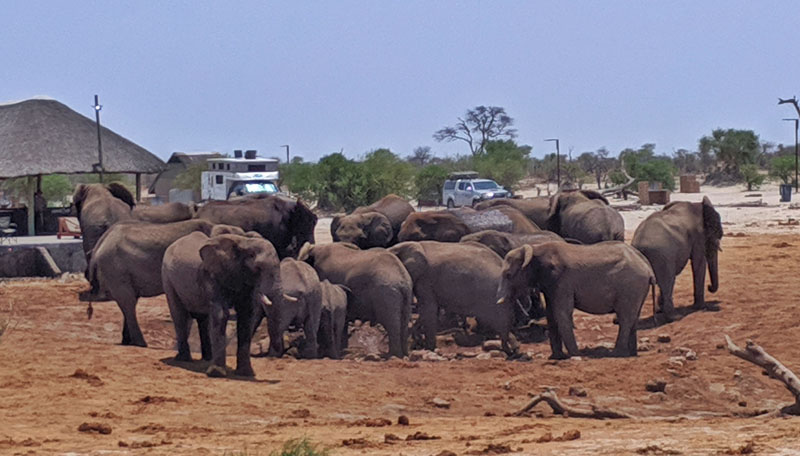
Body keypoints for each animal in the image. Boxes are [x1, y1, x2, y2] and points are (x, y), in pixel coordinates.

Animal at [86, 219, 216, 348]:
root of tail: (100, 243)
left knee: (129, 300)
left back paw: (127, 341)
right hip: (114, 268)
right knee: (128, 302)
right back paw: (140, 343)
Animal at [197, 235, 284, 378]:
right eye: (258, 268)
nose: (274, 357)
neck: (245, 241)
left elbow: (247, 316)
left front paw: (246, 373)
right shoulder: (213, 274)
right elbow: (220, 314)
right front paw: (217, 374)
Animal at [496, 242, 652, 360]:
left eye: (508, 275)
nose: (515, 352)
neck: (536, 249)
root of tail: (648, 267)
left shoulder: (563, 281)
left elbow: (562, 313)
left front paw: (575, 355)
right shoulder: (550, 286)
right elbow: (551, 315)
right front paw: (557, 357)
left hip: (630, 287)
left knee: (625, 317)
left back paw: (617, 354)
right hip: (637, 289)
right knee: (633, 317)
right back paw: (631, 353)